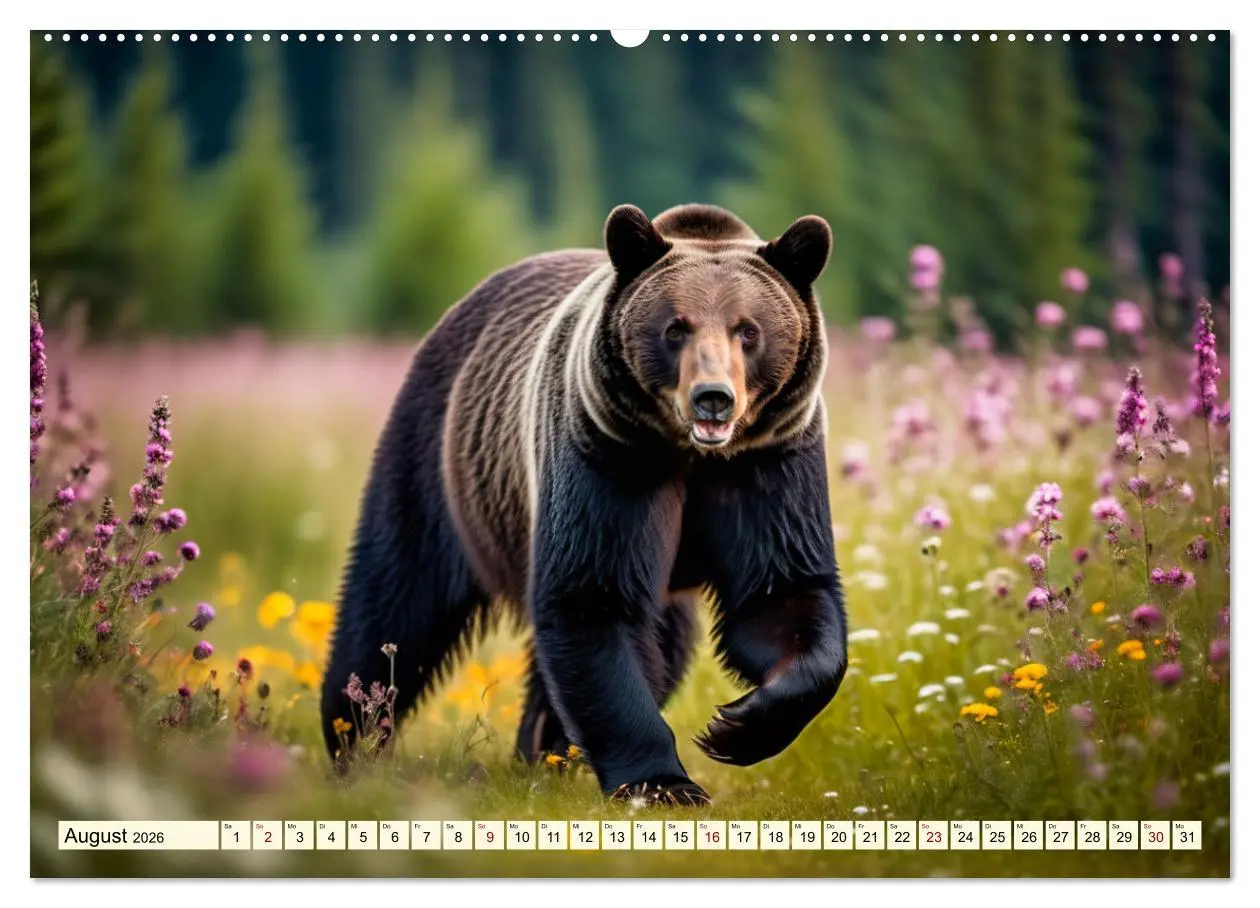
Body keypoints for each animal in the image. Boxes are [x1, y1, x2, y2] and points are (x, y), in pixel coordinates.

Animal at [321, 203, 848, 805]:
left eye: (748, 330)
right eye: (675, 328)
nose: (712, 397)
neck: (689, 454)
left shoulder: (767, 465)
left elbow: (782, 595)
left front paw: (737, 726)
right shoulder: (607, 455)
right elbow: (592, 598)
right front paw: (664, 782)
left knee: (662, 644)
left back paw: (540, 752)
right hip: (440, 458)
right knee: (394, 602)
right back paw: (354, 737)